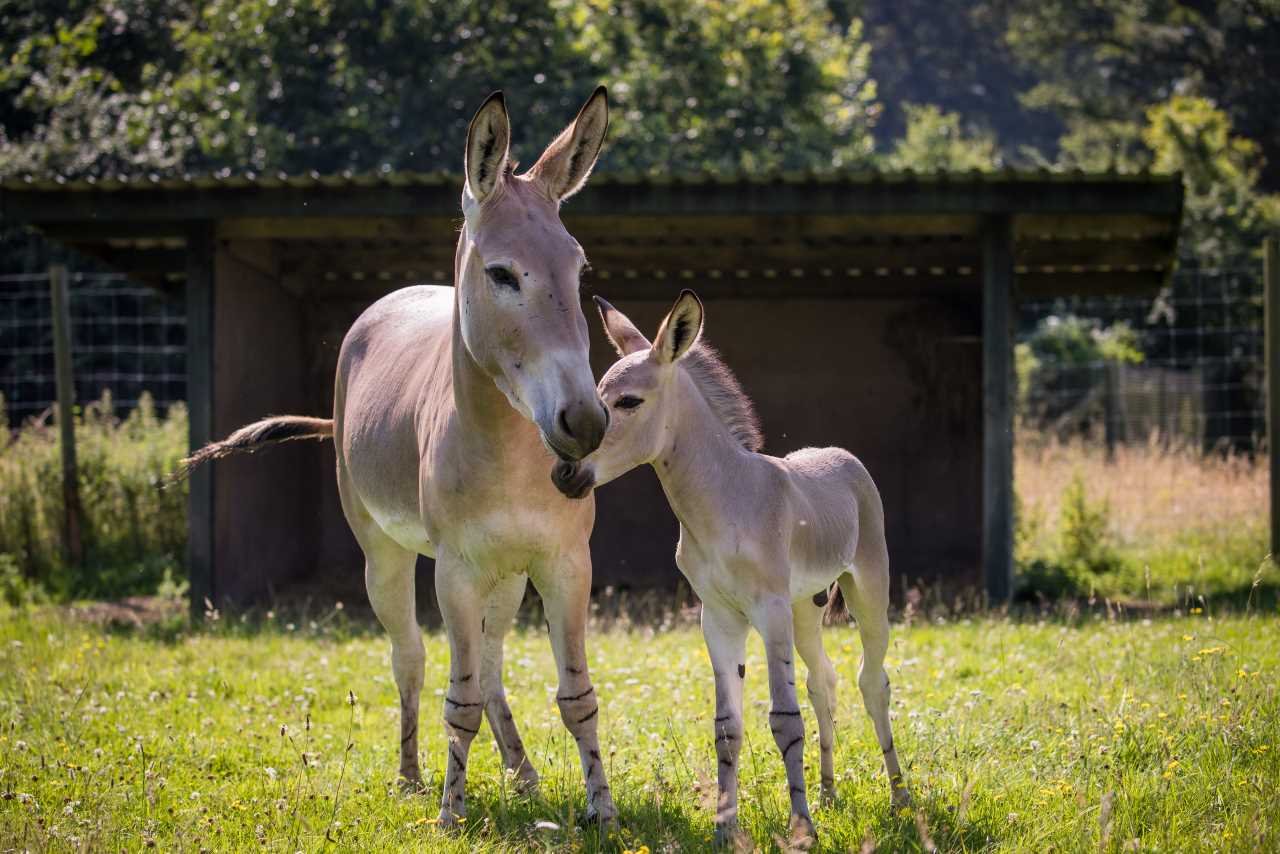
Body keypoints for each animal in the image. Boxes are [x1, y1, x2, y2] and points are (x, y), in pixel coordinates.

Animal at [183, 89, 618, 826]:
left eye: (579, 270)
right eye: (501, 274)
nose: (584, 422)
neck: (509, 453)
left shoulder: (565, 563)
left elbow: (576, 697)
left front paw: (603, 811)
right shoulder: (454, 570)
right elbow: (457, 698)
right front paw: (450, 813)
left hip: (506, 575)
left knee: (492, 663)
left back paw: (523, 773)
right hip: (384, 554)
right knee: (411, 658)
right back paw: (414, 776)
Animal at [551, 290, 911, 842]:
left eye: (629, 402)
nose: (563, 474)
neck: (725, 503)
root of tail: (839, 454)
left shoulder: (769, 611)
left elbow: (784, 719)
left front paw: (801, 830)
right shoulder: (719, 618)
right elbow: (727, 728)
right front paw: (727, 829)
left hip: (866, 592)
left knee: (872, 682)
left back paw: (899, 800)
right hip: (805, 609)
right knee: (823, 681)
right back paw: (828, 794)